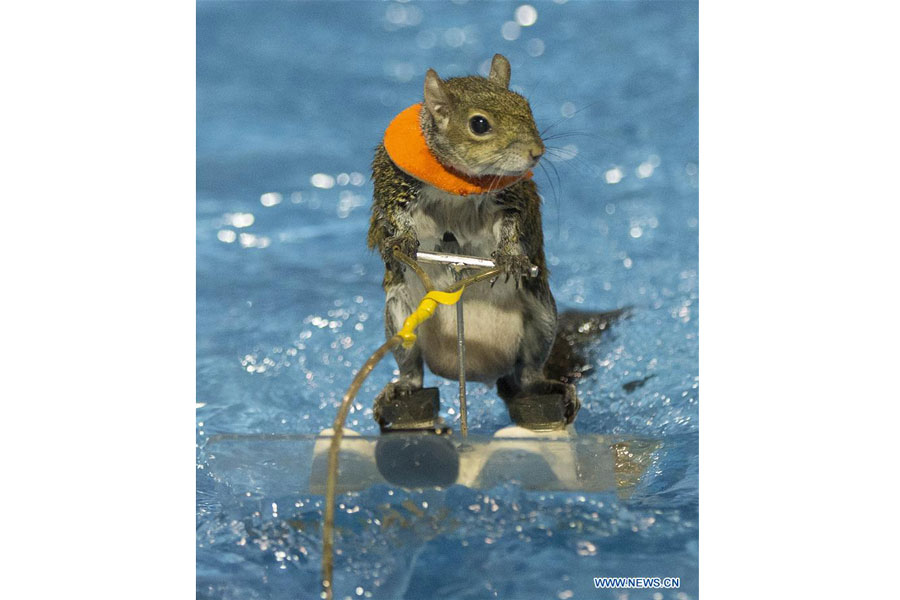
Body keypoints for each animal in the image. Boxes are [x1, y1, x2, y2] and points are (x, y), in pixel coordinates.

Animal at [370, 52, 580, 426]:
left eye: (526, 106)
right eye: (479, 124)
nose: (537, 152)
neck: (460, 183)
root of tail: (479, 370)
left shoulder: (511, 198)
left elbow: (511, 225)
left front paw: (510, 255)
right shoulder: (395, 183)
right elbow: (394, 215)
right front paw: (402, 241)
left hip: (541, 318)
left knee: (528, 373)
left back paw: (550, 387)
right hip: (400, 321)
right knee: (412, 369)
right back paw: (400, 388)